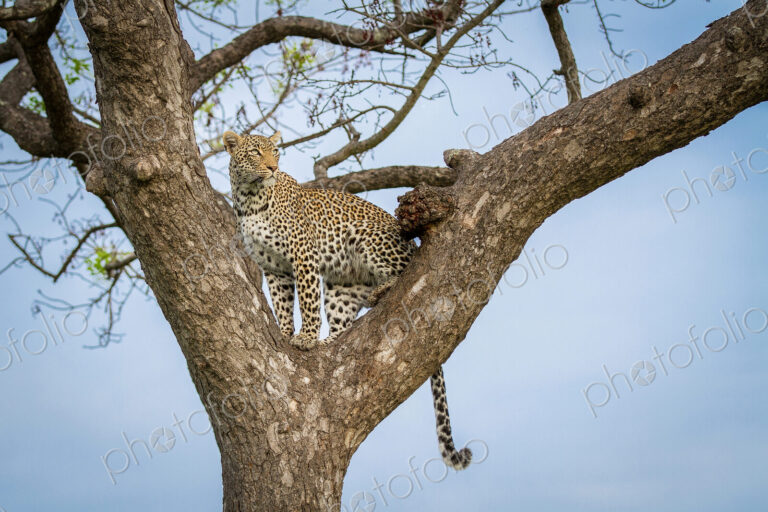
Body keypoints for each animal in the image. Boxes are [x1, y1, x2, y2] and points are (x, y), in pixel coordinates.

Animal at [223, 130, 472, 470]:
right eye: (255, 153)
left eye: (276, 151)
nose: (273, 168)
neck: (249, 197)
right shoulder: (274, 268)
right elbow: (283, 305)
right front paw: (287, 333)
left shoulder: (303, 255)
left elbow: (308, 301)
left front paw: (306, 337)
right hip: (342, 286)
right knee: (344, 323)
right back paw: (329, 341)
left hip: (367, 235)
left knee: (405, 271)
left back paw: (380, 292)